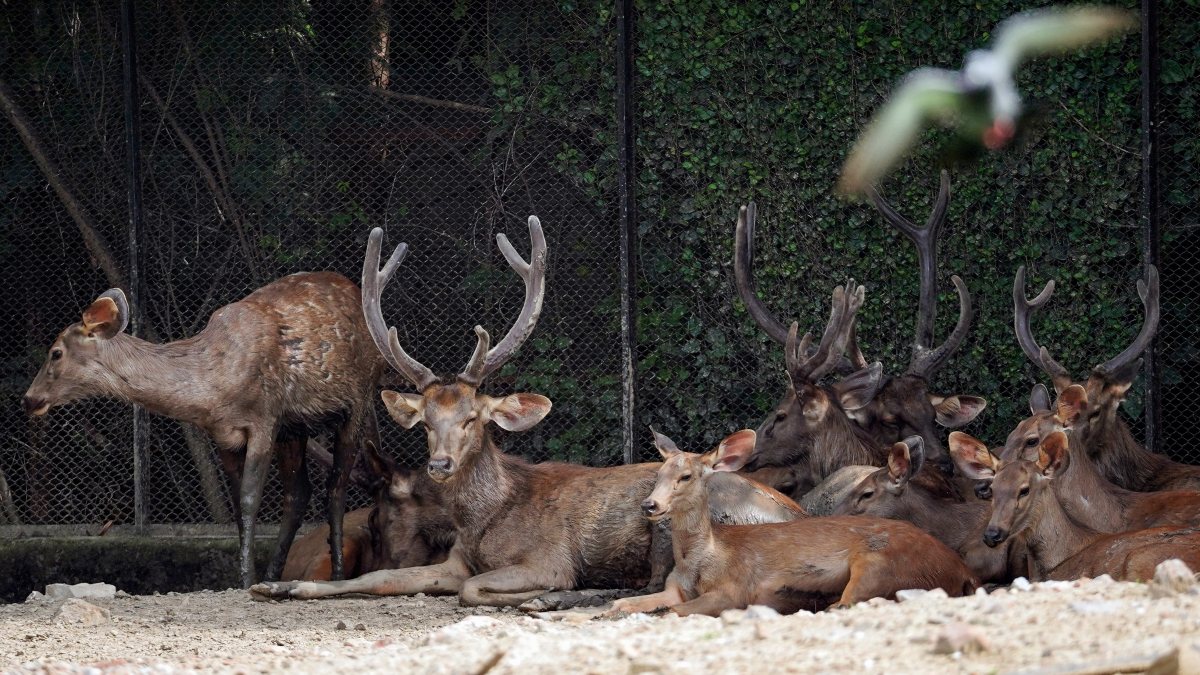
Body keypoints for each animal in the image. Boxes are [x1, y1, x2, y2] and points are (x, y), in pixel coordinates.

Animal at [22, 272, 385, 587]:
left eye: (55, 353)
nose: (29, 399)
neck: (214, 389)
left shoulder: (265, 417)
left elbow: (250, 499)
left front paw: (245, 579)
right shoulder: (224, 434)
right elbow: (237, 505)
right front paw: (247, 577)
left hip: (359, 399)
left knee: (336, 486)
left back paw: (337, 573)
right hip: (296, 427)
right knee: (298, 492)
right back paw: (274, 575)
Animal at [250, 220, 806, 606]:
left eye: (473, 418)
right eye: (426, 422)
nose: (440, 465)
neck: (485, 521)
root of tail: (795, 513)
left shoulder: (545, 557)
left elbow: (474, 590)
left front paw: (540, 592)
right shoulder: (453, 560)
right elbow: (379, 575)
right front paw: (279, 587)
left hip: (678, 520)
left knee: (648, 583)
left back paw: (556, 598)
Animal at [606, 429, 978, 617]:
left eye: (685, 476)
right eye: (658, 473)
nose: (650, 505)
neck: (703, 557)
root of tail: (962, 570)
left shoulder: (735, 586)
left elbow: (673, 612)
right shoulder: (675, 587)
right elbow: (623, 603)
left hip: (880, 562)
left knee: (850, 602)